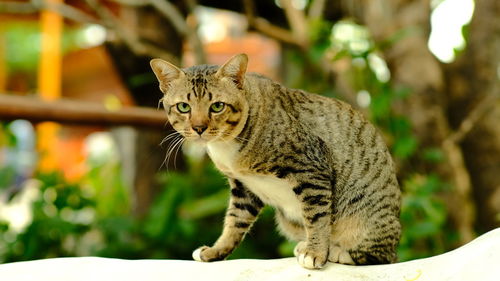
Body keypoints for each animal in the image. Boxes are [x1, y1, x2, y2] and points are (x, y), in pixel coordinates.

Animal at [149, 53, 402, 268]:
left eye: (217, 106)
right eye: (184, 107)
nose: (199, 127)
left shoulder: (311, 168)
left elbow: (317, 217)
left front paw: (316, 252)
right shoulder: (244, 188)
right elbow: (234, 222)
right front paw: (215, 251)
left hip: (369, 220)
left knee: (380, 255)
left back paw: (336, 251)